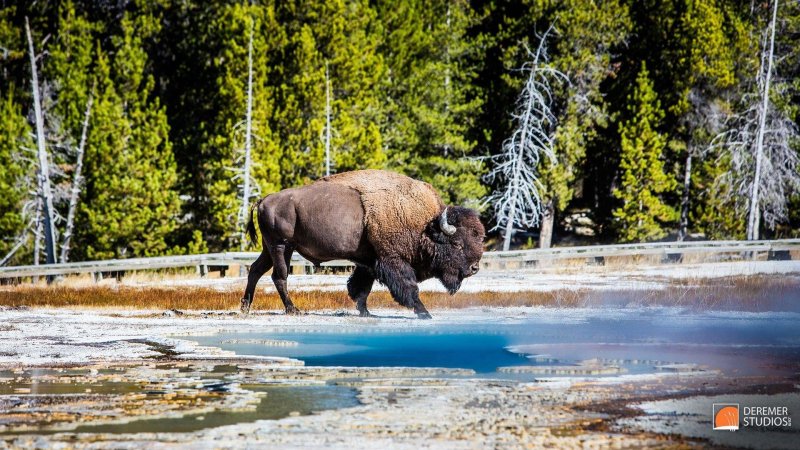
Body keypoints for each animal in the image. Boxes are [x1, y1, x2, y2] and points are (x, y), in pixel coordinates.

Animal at [241, 169, 484, 320]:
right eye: (457, 244)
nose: (474, 268)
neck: (425, 225)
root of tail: (263, 200)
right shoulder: (392, 260)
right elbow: (409, 287)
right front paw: (424, 313)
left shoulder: (369, 261)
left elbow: (360, 288)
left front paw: (365, 312)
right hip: (282, 246)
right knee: (279, 276)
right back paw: (293, 310)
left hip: (269, 248)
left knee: (255, 270)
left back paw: (245, 307)